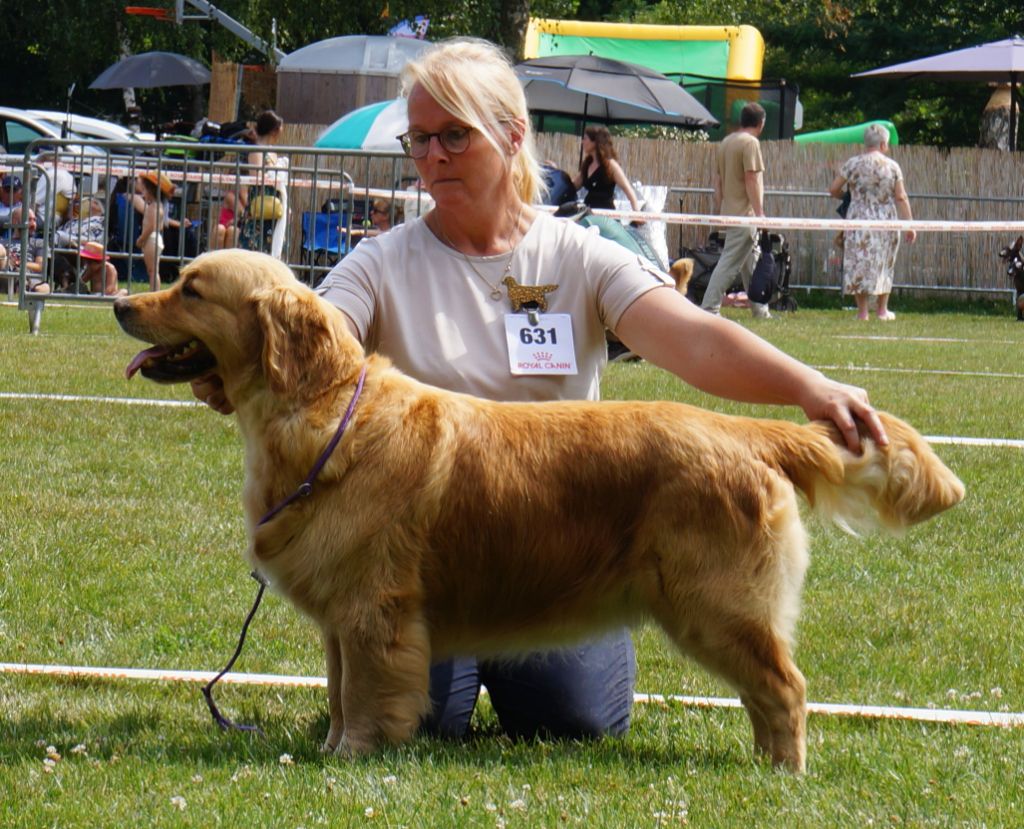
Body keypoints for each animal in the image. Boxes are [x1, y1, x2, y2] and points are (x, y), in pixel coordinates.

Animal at [114, 246, 966, 769]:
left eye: (192, 287)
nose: (122, 300)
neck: (319, 415)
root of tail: (742, 429)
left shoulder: (373, 608)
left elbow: (363, 693)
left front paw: (353, 754)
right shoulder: (343, 614)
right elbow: (335, 688)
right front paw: (328, 748)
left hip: (717, 602)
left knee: (784, 687)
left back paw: (781, 772)